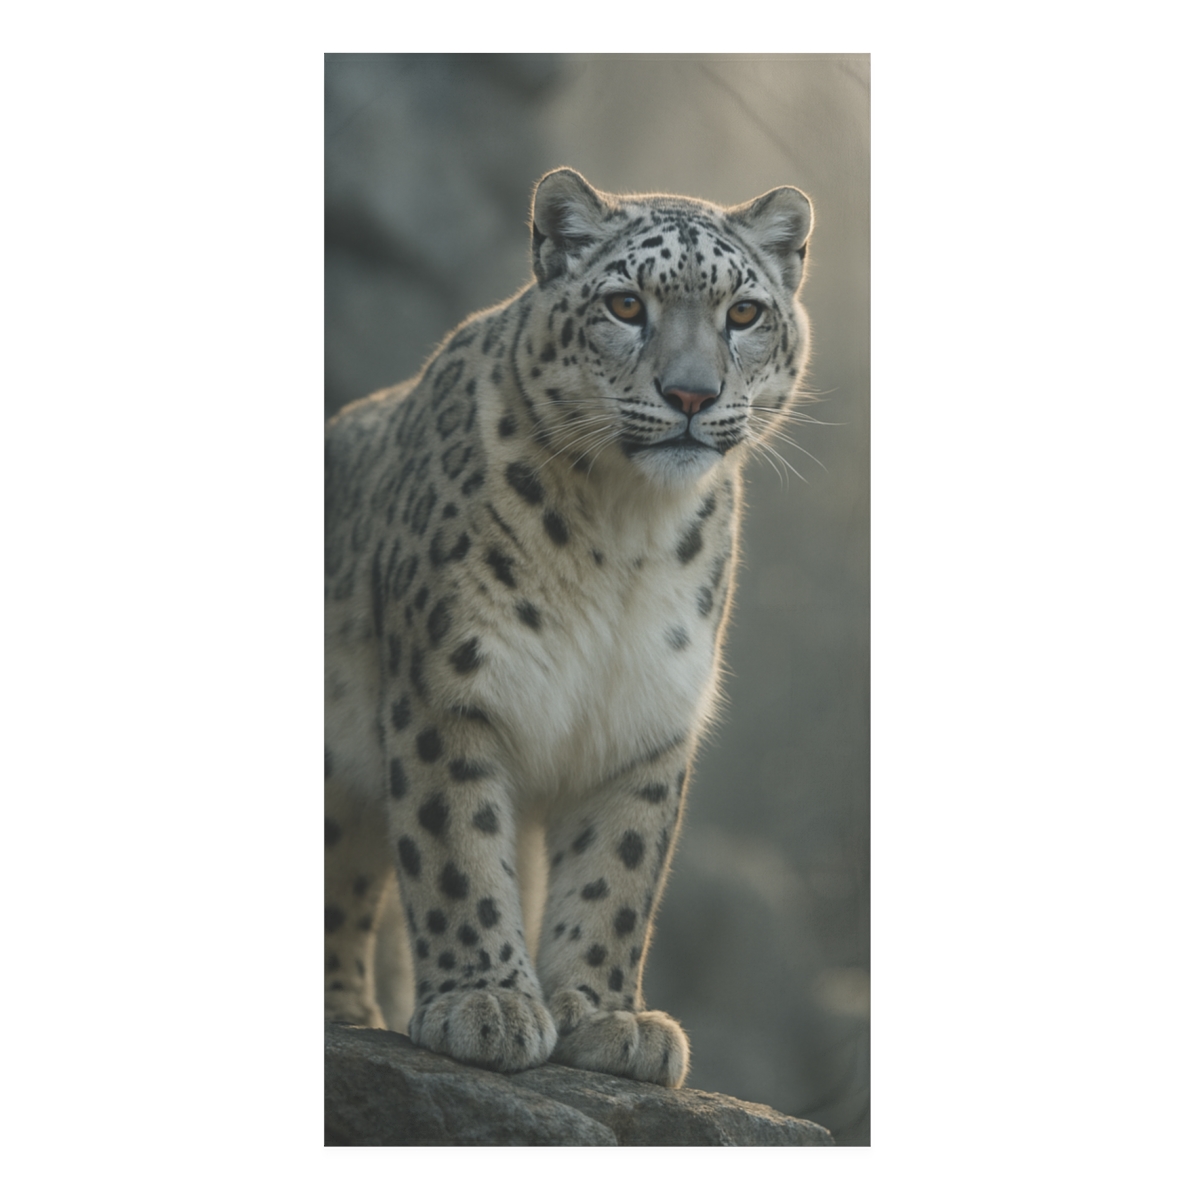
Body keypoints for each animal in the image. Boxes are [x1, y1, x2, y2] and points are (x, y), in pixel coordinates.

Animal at [325, 167, 813, 1088]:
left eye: (743, 313)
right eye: (625, 305)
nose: (691, 394)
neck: (624, 534)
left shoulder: (647, 719)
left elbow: (616, 875)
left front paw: (605, 1015)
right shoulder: (449, 688)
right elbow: (457, 850)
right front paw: (486, 1001)